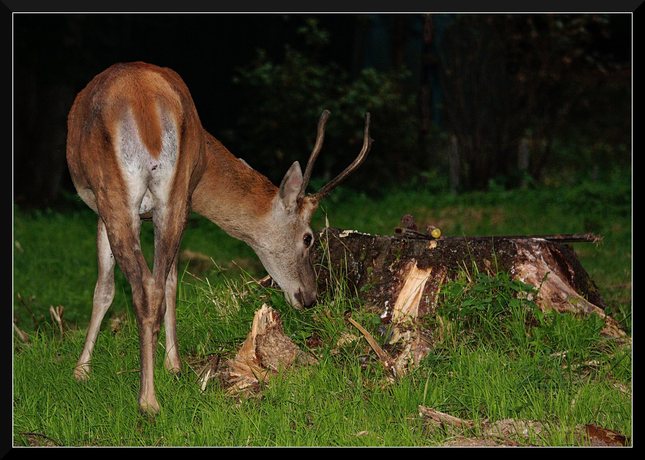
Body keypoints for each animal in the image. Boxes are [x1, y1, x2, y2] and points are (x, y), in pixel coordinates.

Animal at [66, 61, 372, 414]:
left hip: (117, 195)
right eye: (309, 238)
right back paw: (153, 392)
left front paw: (81, 370)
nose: (310, 297)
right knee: (155, 287)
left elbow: (109, 288)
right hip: (167, 196)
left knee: (144, 287)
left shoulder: (108, 206)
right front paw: (171, 365)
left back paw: (147, 401)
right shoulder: (180, 205)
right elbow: (162, 283)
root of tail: (146, 107)